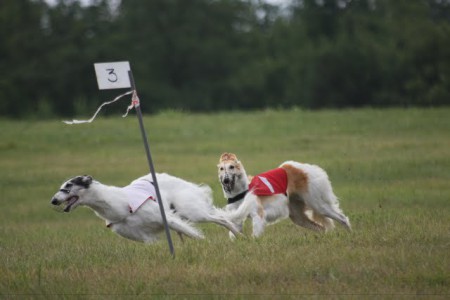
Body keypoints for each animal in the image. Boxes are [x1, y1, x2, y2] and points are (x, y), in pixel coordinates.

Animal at [51, 173, 241, 244]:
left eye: (68, 186)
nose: (53, 201)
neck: (119, 204)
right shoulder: (145, 237)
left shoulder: (167, 219)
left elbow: (196, 235)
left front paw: (205, 244)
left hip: (193, 212)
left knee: (223, 219)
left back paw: (240, 236)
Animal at [218, 154, 352, 238]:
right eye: (221, 169)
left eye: (231, 167)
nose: (225, 180)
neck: (241, 192)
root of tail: (301, 167)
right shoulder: (238, 219)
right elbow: (234, 233)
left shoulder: (258, 215)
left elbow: (255, 236)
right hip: (298, 216)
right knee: (321, 228)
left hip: (318, 204)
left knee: (342, 218)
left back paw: (350, 235)